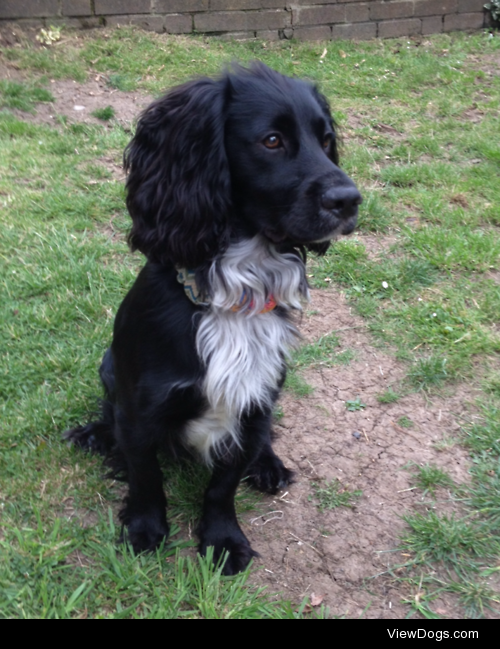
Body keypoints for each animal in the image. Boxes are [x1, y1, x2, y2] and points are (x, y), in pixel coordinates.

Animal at [66, 63, 362, 576]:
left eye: (326, 140)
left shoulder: (252, 400)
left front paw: (224, 540)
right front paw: (144, 529)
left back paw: (268, 464)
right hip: (108, 364)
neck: (233, 295)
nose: (350, 199)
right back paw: (97, 436)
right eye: (271, 140)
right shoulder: (141, 408)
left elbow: (223, 486)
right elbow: (146, 476)